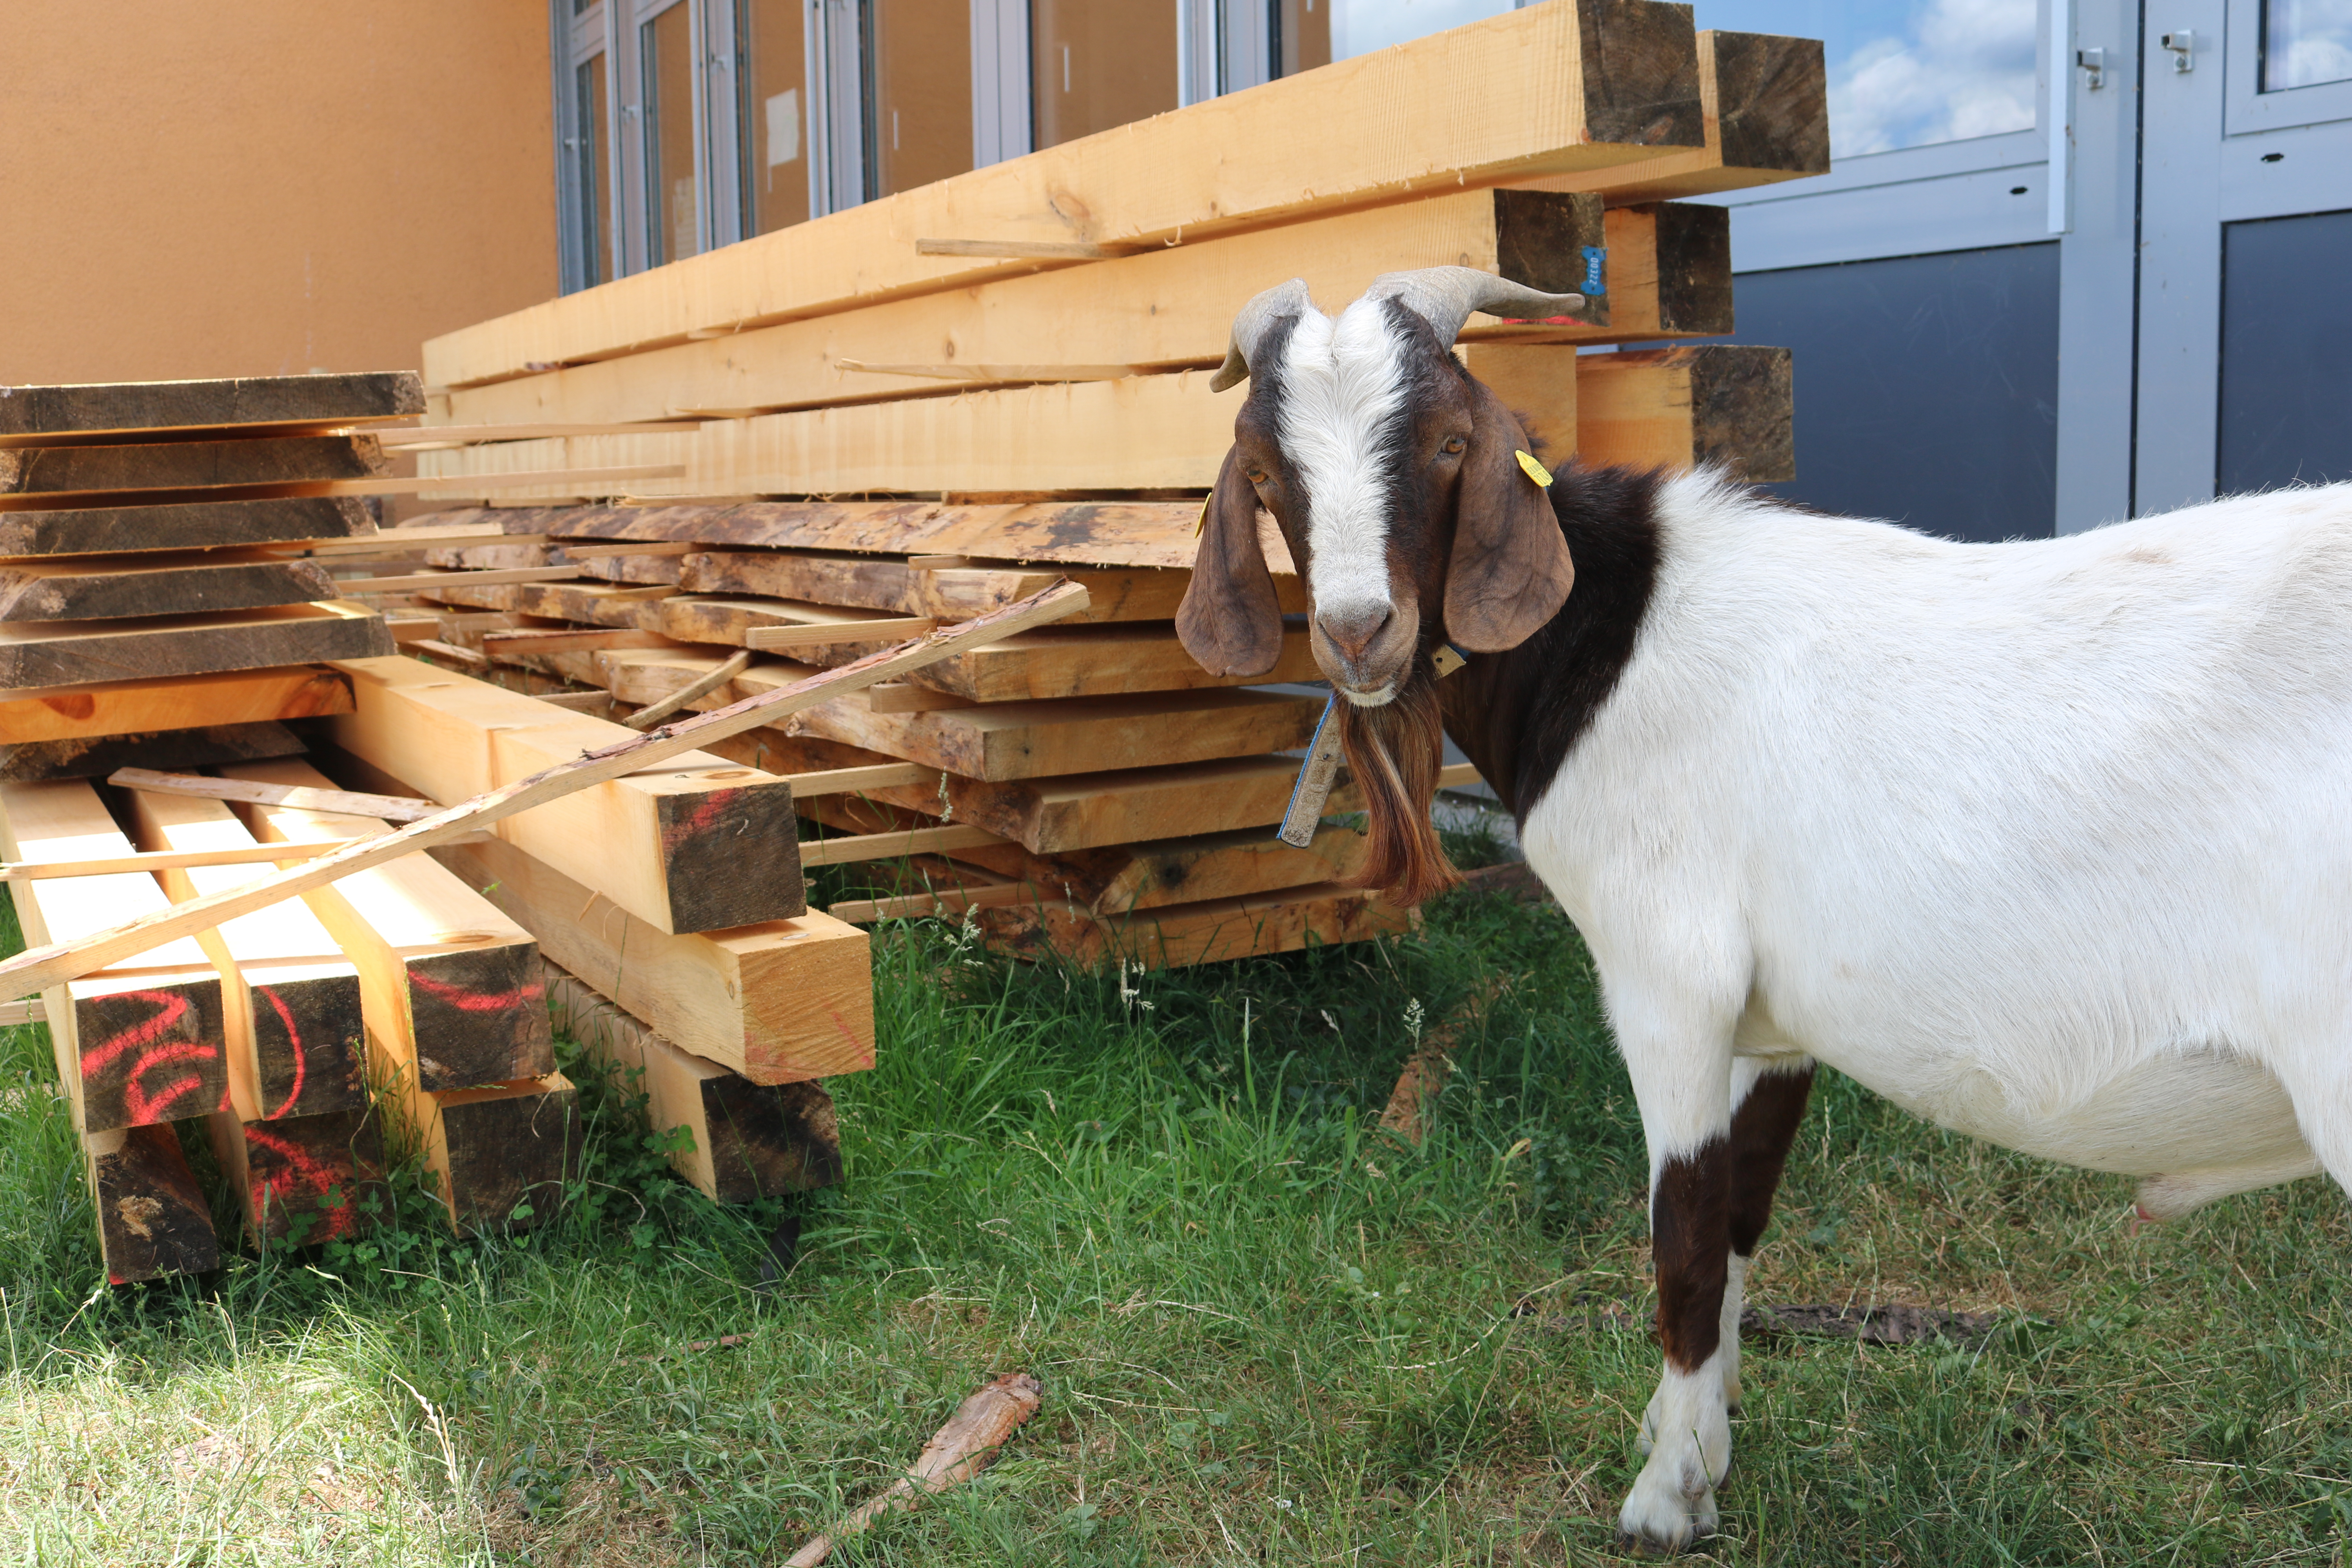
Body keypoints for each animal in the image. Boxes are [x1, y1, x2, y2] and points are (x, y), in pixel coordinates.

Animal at [1185, 263, 2352, 1552]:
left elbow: (1685, 1236)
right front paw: (1697, 1435)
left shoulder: (1667, 978)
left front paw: (1662, 1502)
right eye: (1263, 472)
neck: (1614, 643)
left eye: (1447, 441)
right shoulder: (1775, 1020)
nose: (1358, 631)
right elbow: (1742, 1214)